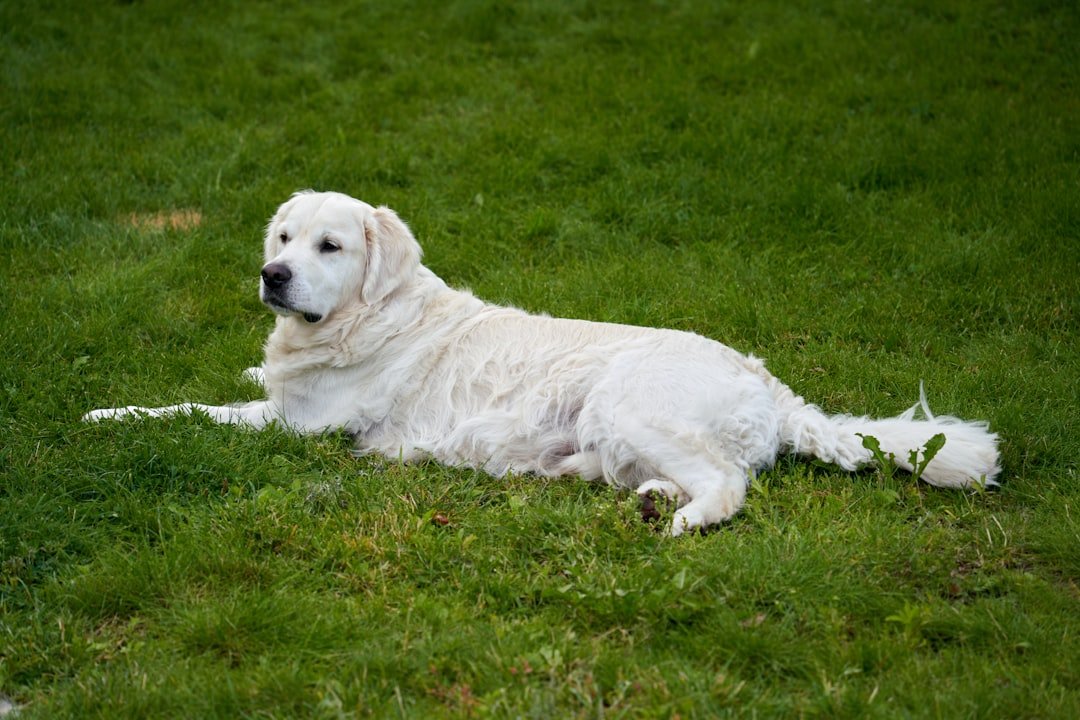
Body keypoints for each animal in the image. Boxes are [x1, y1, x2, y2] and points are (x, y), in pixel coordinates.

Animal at [86, 191, 1002, 535]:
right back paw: (627, 492)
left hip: (627, 401)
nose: (273, 275)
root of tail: (773, 389)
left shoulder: (296, 426)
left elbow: (190, 409)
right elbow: (246, 377)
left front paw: (105, 415)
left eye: (329, 246)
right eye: (282, 237)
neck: (365, 317)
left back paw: (681, 520)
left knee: (731, 485)